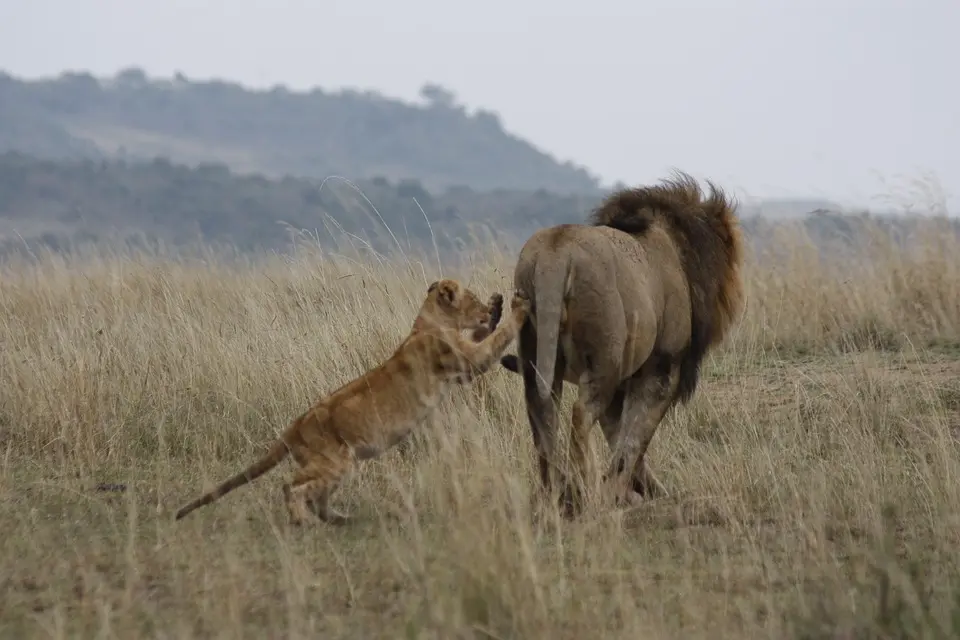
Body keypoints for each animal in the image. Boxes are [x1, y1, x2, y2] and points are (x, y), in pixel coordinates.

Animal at [502, 171, 744, 516]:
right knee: (580, 414)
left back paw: (555, 496)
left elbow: (620, 436)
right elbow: (634, 437)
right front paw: (623, 492)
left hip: (539, 350)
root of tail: (555, 256)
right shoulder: (661, 369)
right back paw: (585, 491)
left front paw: (638, 490)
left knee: (543, 416)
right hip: (607, 361)